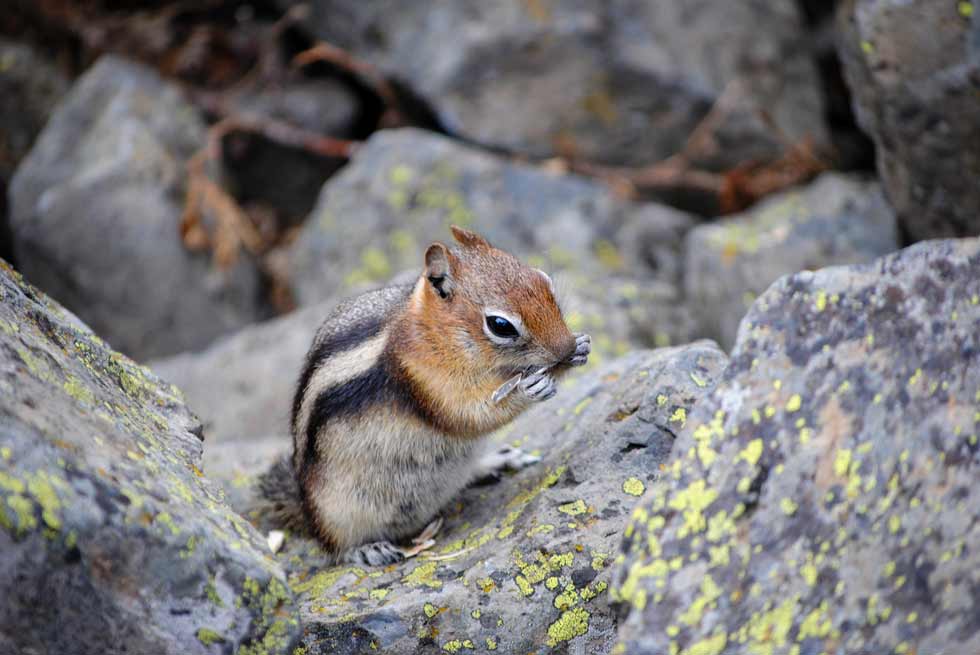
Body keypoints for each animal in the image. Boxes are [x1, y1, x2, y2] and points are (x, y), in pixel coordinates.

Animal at [259, 226, 590, 566]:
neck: (435, 333)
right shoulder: (423, 378)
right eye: (500, 325)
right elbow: (468, 414)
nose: (565, 347)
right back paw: (366, 549)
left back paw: (497, 460)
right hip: (336, 511)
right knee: (332, 546)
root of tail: (305, 507)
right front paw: (528, 388)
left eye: (544, 281)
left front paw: (579, 348)